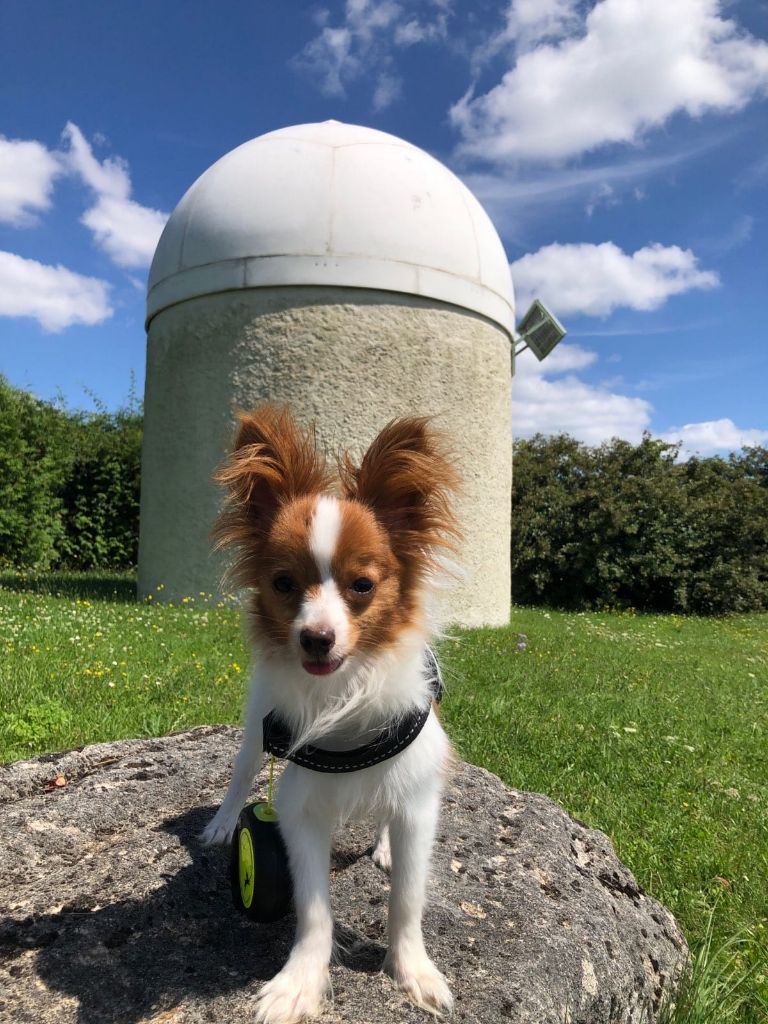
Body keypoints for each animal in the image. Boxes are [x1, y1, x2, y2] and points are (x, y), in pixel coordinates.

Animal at [201, 403, 460, 1019]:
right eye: (283, 583)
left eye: (362, 585)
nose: (316, 638)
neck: (344, 696)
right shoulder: (300, 812)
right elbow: (313, 908)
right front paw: (299, 983)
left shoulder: (417, 801)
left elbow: (407, 899)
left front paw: (411, 970)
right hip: (255, 733)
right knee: (241, 774)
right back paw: (222, 824)